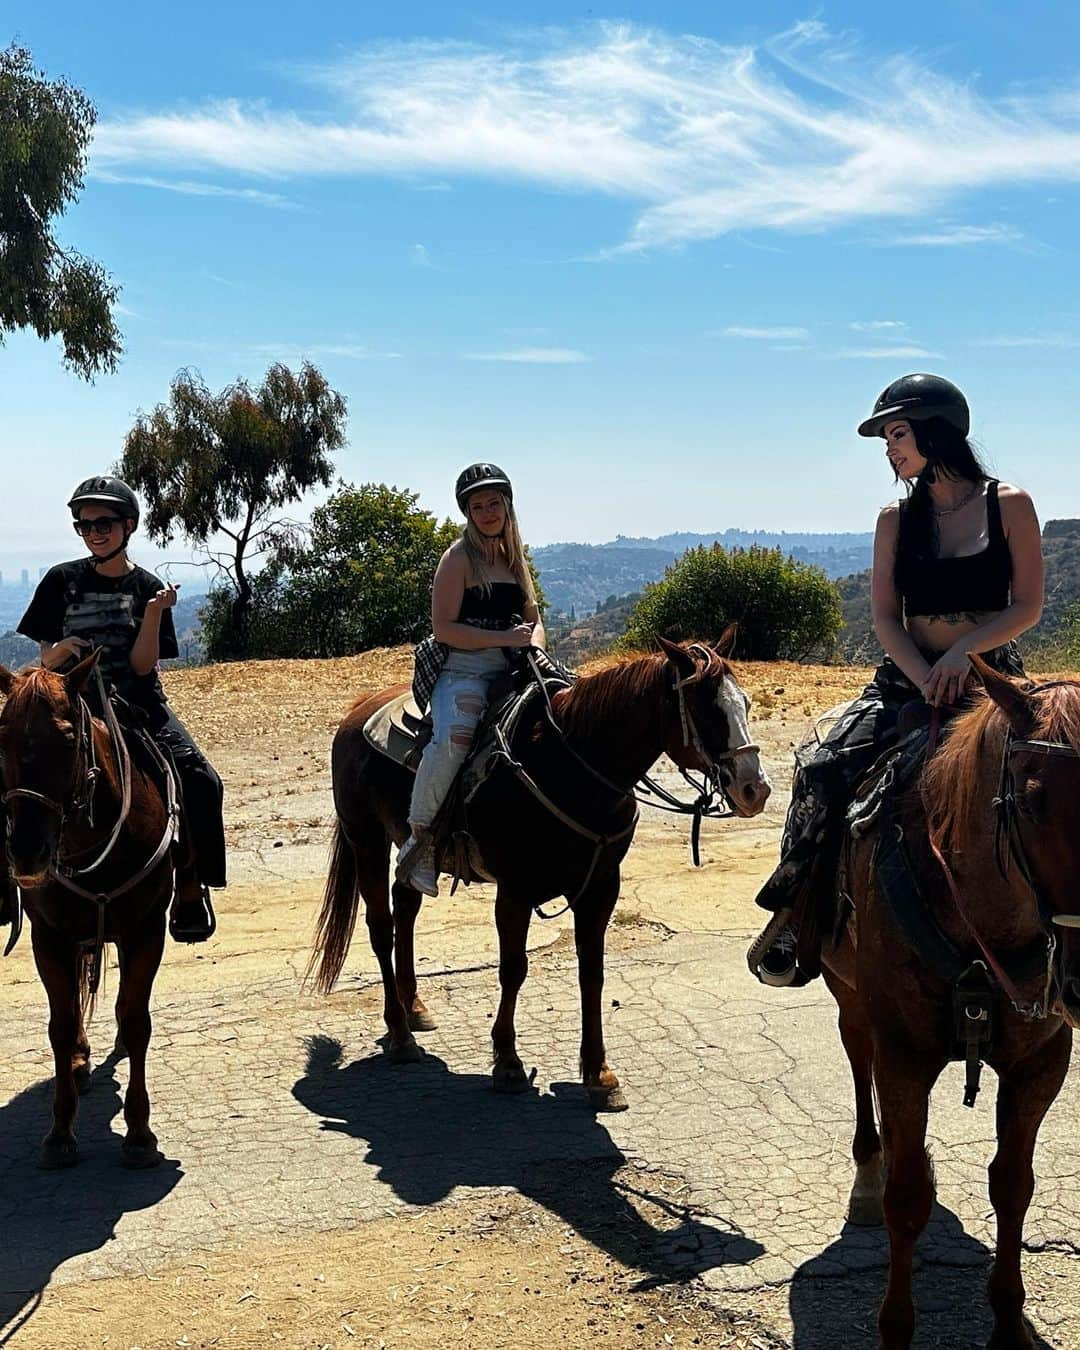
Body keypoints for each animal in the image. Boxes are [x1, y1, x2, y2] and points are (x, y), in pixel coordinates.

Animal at [0, 656, 176, 1171]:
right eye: (2, 739)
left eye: (67, 739)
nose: (28, 853)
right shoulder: (50, 938)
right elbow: (59, 1028)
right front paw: (60, 1133)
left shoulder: (145, 931)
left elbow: (136, 1021)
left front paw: (140, 1133)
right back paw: (80, 1062)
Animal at [307, 631, 772, 1107]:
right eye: (707, 709)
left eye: (745, 703)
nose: (755, 789)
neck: (569, 766)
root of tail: (357, 711)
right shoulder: (515, 891)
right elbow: (513, 969)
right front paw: (508, 1062)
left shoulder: (600, 889)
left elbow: (592, 974)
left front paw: (599, 1073)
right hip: (366, 840)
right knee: (382, 928)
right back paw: (400, 1034)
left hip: (411, 847)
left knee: (405, 907)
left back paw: (415, 1008)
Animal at [820, 656, 1080, 1350]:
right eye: (1031, 799)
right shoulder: (905, 1058)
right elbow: (906, 1201)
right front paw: (896, 1329)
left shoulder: (1041, 1065)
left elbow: (1013, 1186)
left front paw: (1009, 1322)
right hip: (849, 997)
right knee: (858, 1062)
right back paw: (868, 1173)